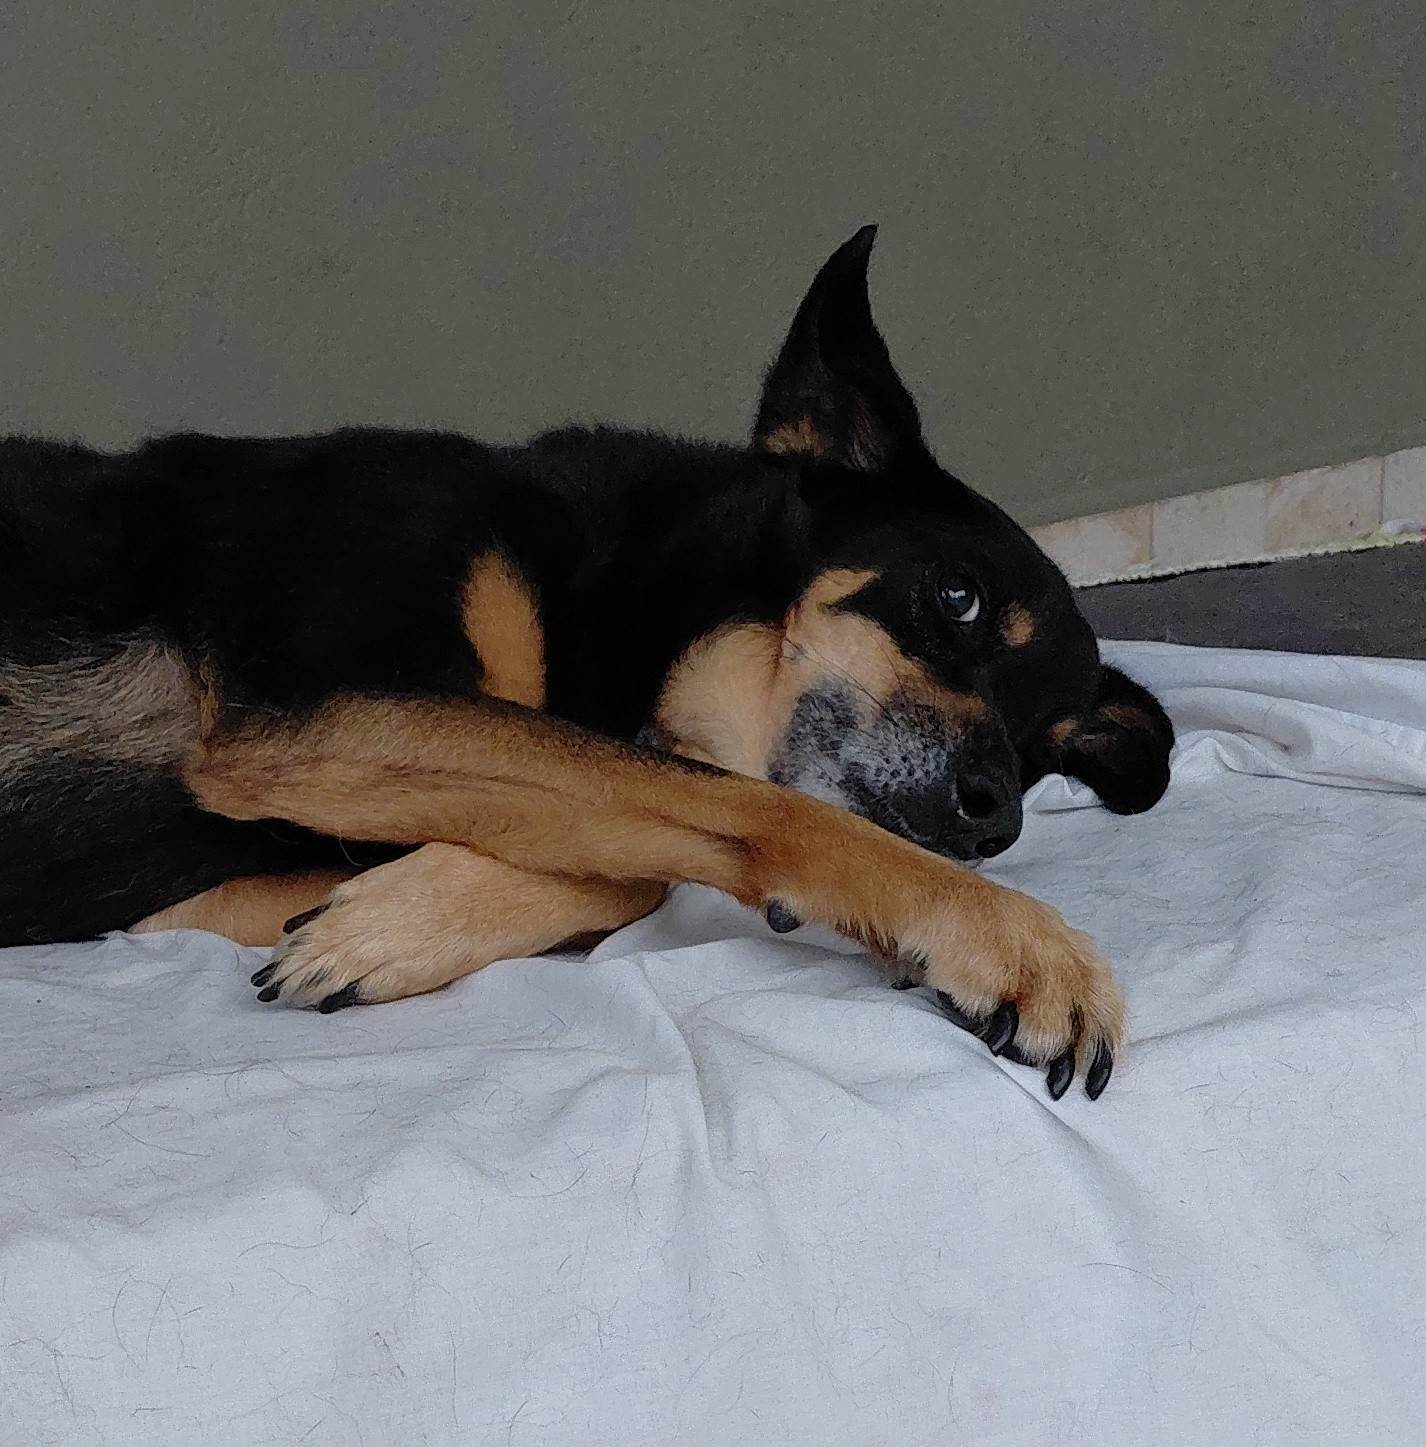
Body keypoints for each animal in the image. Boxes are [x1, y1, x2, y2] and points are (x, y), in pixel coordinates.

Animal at [0, 226, 1172, 1099]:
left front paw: (383, 924)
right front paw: (1012, 940)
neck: (608, 583)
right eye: (957, 596)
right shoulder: (296, 722)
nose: (994, 819)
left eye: (1045, 748)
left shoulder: (170, 900)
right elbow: (742, 809)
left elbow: (636, 854)